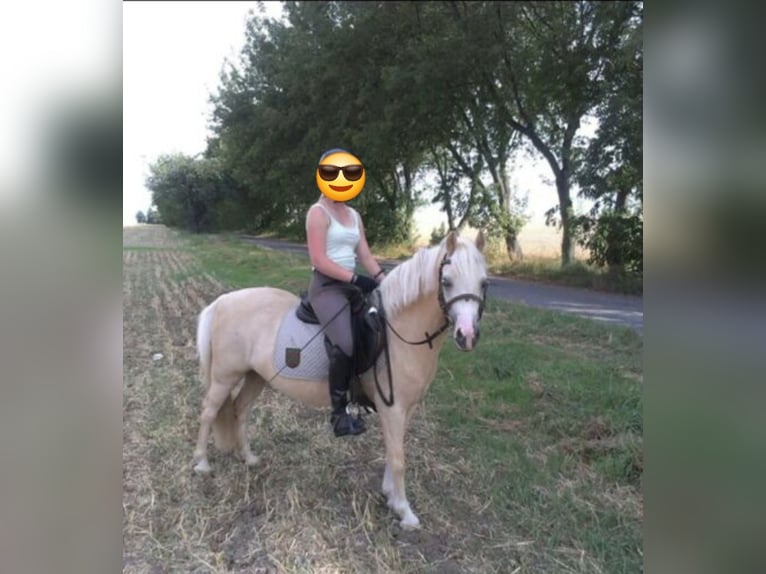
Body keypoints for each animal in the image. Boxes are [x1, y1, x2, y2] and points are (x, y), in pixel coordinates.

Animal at [192, 230, 488, 529]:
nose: (467, 336)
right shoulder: (392, 409)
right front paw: (405, 512)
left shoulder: (407, 409)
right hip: (225, 377)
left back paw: (249, 458)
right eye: (446, 282)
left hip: (256, 376)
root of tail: (222, 302)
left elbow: (393, 453)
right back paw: (202, 463)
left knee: (240, 410)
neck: (397, 332)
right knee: (208, 412)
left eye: (484, 283)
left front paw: (390, 496)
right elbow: (398, 459)